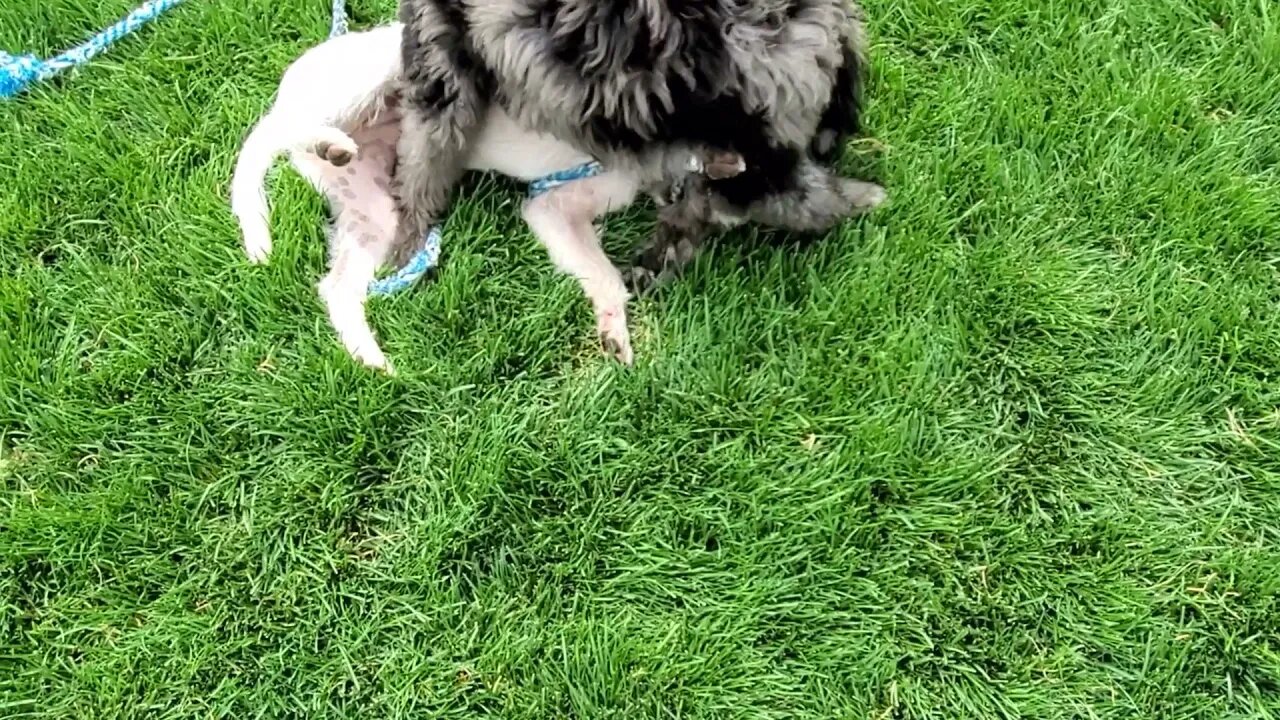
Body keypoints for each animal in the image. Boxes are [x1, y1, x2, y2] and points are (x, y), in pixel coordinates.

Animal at [227, 22, 742, 368]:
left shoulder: (558, 207)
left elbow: (600, 273)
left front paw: (613, 331)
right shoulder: (550, 204)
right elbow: (608, 274)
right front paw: (615, 329)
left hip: (375, 207)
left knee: (337, 288)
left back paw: (371, 359)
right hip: (370, 76)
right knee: (267, 138)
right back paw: (305, 165)